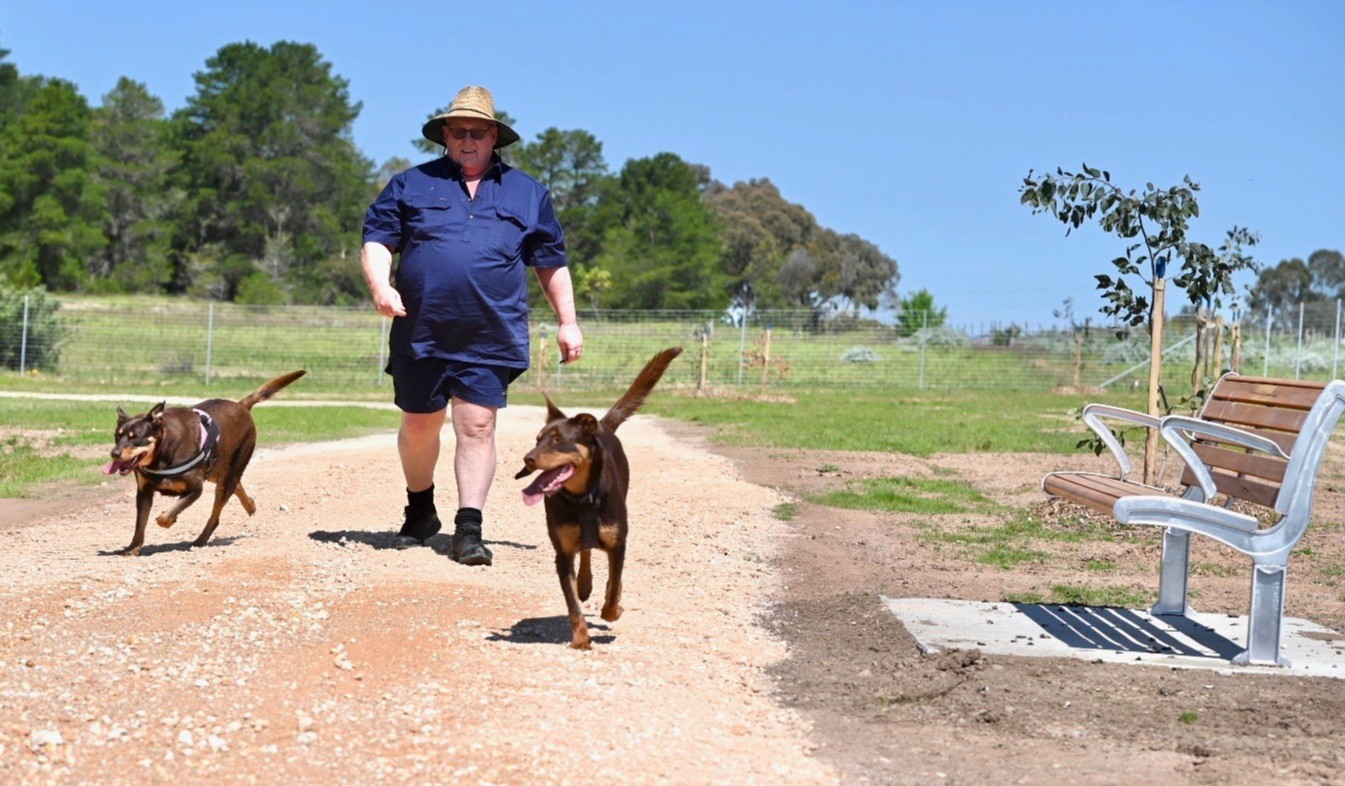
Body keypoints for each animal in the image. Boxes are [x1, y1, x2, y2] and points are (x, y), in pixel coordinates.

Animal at [103, 371, 306, 554]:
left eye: (135, 437)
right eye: (117, 436)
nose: (115, 453)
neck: (162, 452)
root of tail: (241, 405)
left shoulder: (195, 488)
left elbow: (167, 515)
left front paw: (169, 520)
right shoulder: (144, 491)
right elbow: (140, 522)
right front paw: (133, 547)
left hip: (229, 472)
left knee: (216, 513)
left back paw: (200, 540)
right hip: (216, 470)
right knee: (236, 485)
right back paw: (250, 504)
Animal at [513, 347, 683, 651]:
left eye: (558, 440)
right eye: (537, 439)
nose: (528, 458)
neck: (583, 498)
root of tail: (601, 424)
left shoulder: (618, 543)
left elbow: (614, 586)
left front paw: (612, 611)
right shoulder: (562, 554)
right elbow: (572, 605)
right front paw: (581, 638)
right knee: (587, 551)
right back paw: (585, 583)